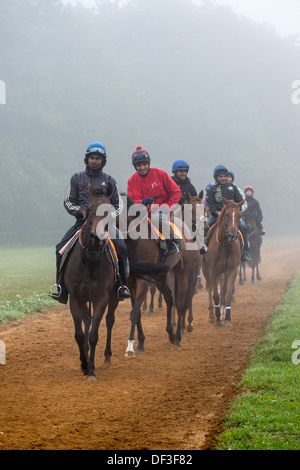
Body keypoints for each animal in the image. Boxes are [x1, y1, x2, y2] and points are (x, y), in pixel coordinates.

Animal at [63, 184, 118, 382]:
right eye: (90, 208)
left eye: (109, 211)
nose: (97, 236)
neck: (90, 261)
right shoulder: (75, 298)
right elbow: (79, 334)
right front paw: (84, 364)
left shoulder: (101, 298)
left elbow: (94, 334)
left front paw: (92, 371)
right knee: (87, 320)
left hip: (113, 297)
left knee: (109, 321)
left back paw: (107, 359)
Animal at [202, 197, 246, 326]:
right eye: (226, 215)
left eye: (239, 215)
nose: (232, 235)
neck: (225, 246)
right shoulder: (213, 270)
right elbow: (215, 294)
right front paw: (217, 318)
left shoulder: (232, 269)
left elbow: (227, 293)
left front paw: (226, 318)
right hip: (205, 269)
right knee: (210, 288)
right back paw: (212, 315)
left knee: (222, 290)